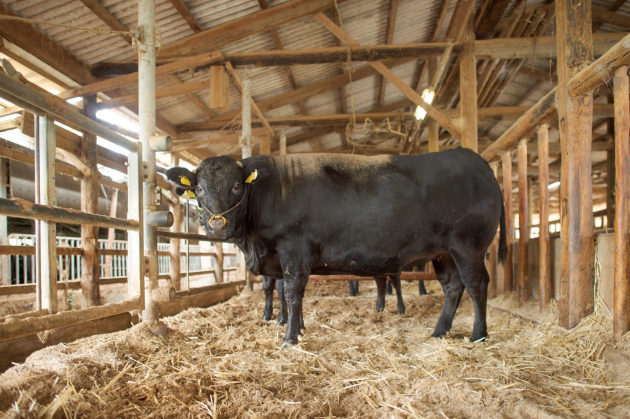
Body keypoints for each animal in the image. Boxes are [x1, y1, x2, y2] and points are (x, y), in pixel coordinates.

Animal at [167, 148, 508, 348]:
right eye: (198, 189)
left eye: (236, 186)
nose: (217, 226)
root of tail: (474, 158)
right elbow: (290, 295)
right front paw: (298, 327)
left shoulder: (293, 251)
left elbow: (291, 292)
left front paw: (289, 337)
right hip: (443, 252)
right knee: (453, 287)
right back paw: (439, 331)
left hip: (467, 245)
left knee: (477, 285)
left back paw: (479, 335)